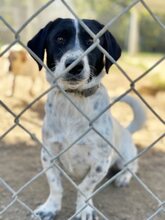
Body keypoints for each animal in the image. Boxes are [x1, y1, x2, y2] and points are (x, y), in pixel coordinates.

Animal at [27, 18, 146, 219]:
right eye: (59, 39)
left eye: (91, 41)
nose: (75, 65)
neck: (74, 100)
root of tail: (126, 130)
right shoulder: (48, 154)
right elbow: (55, 185)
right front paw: (50, 207)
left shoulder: (101, 162)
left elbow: (85, 187)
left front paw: (84, 210)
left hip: (125, 157)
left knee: (132, 167)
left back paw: (123, 177)